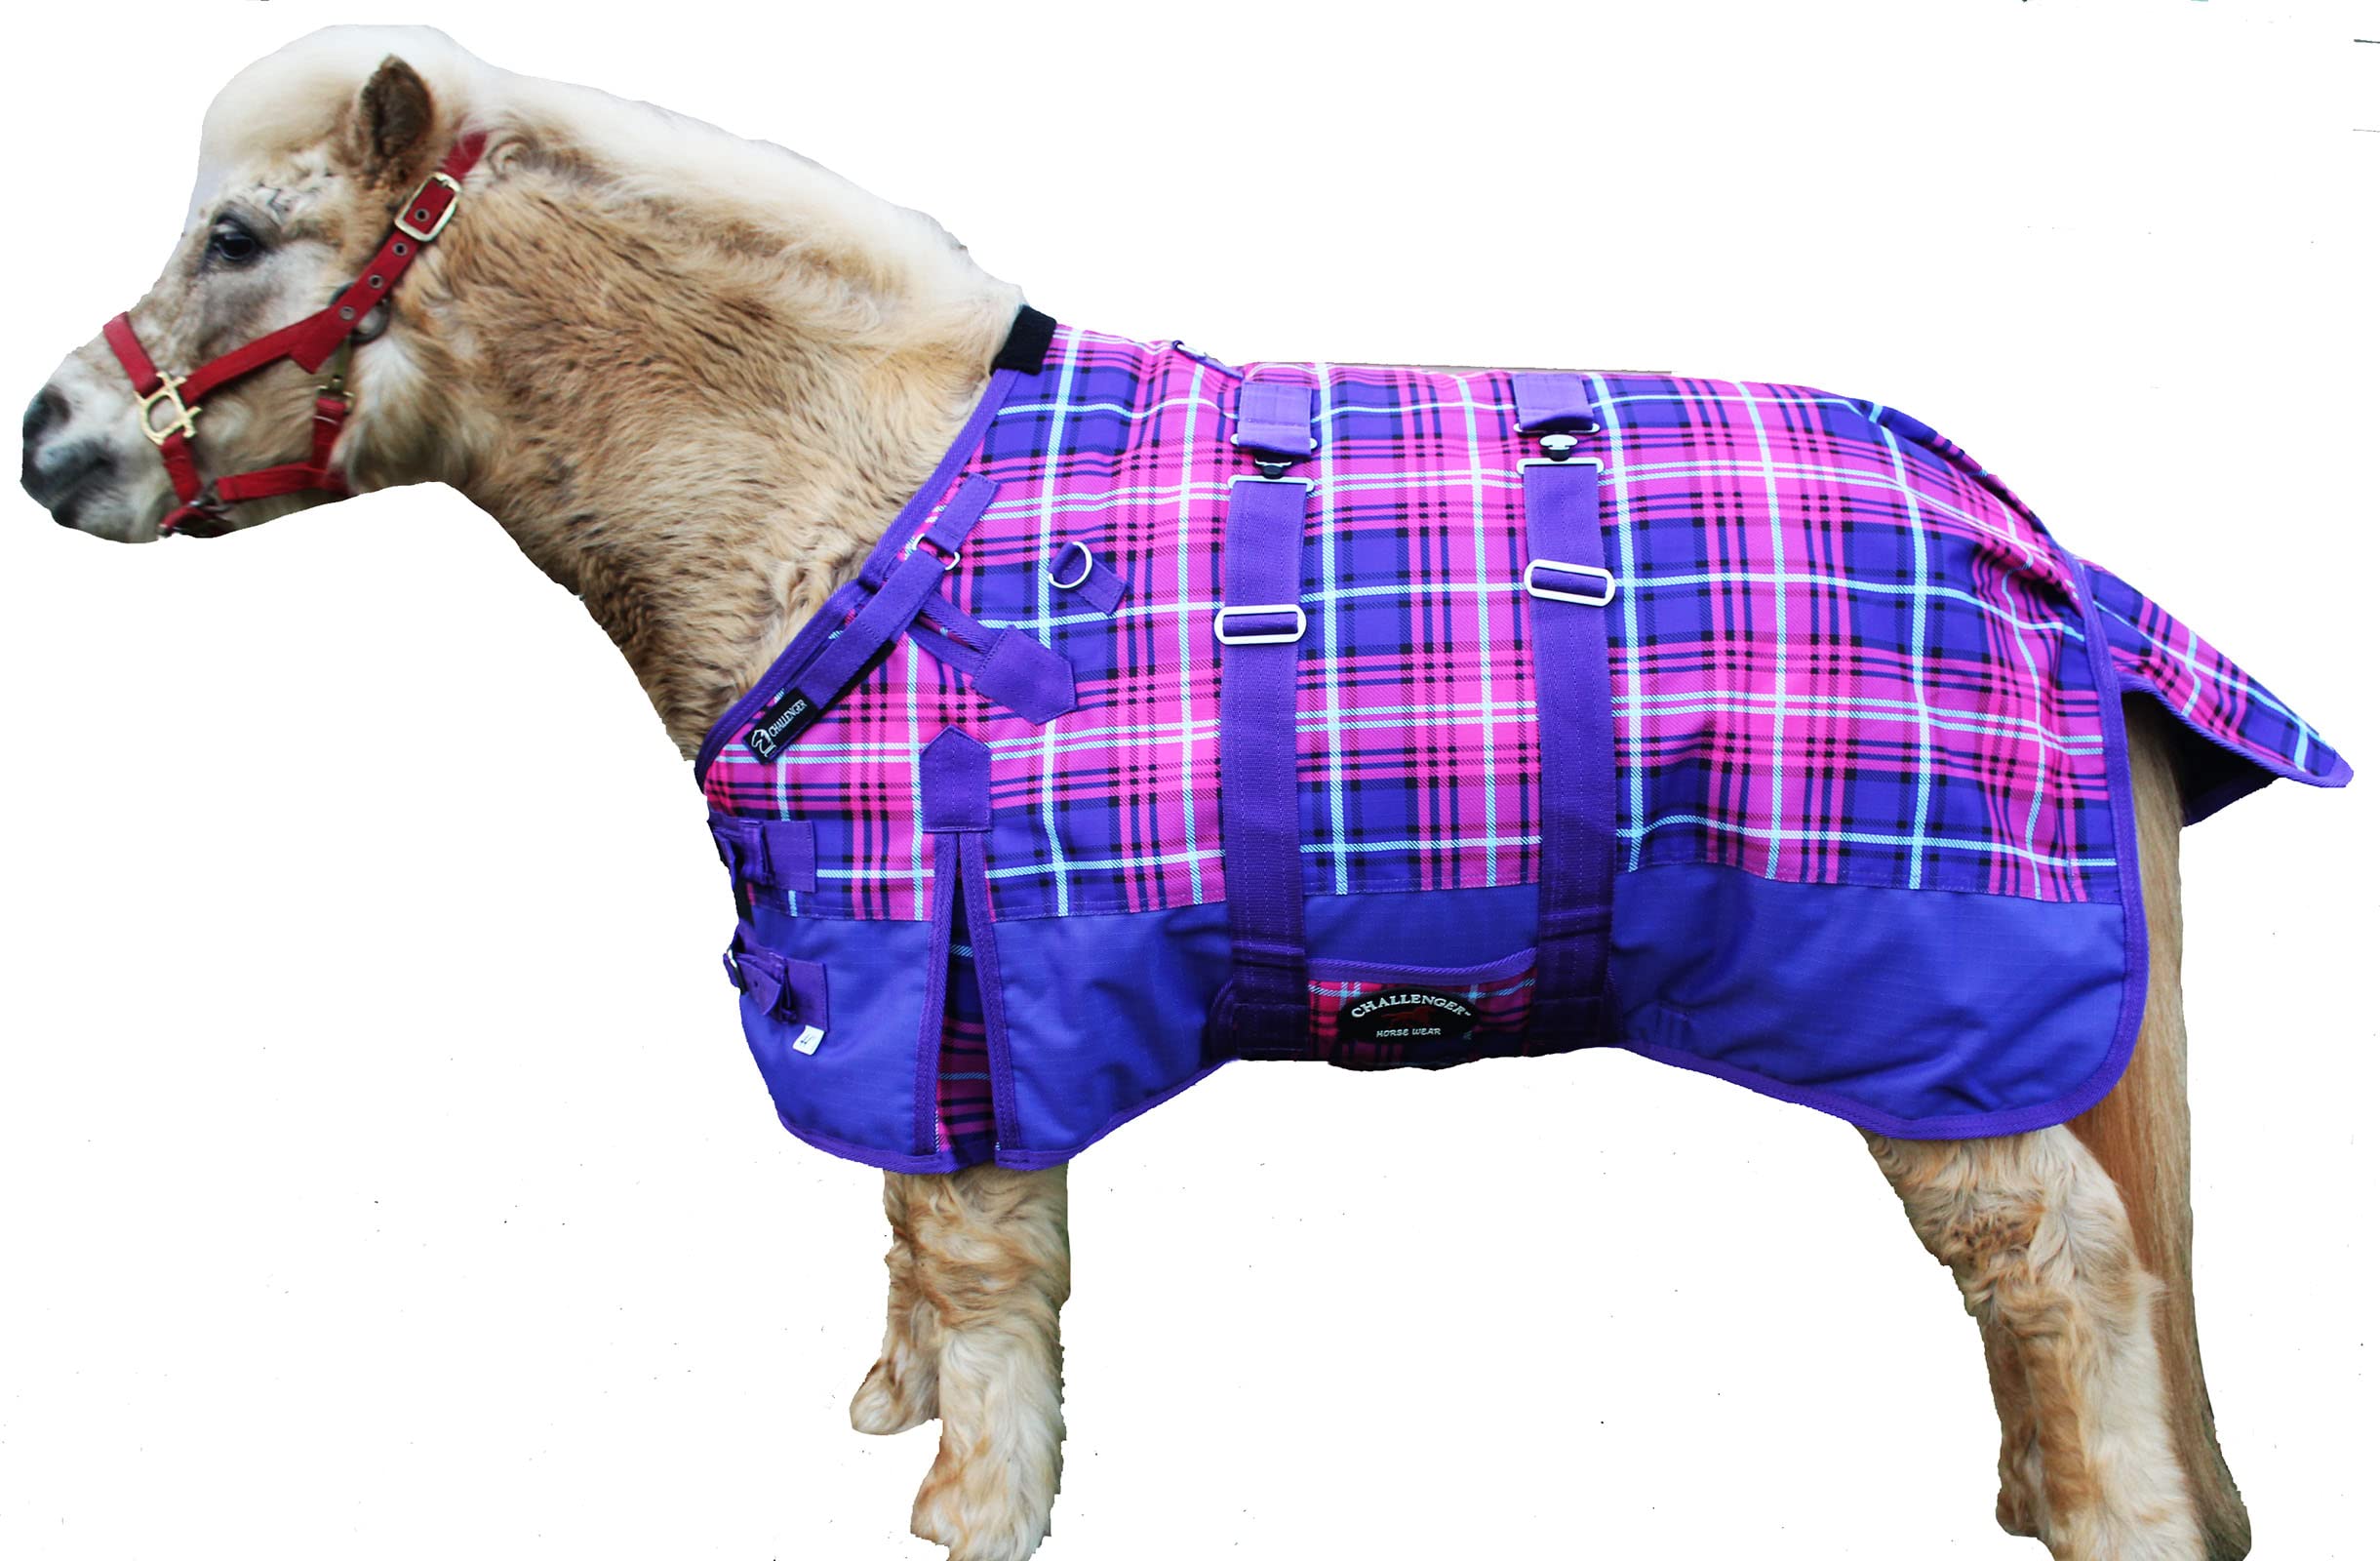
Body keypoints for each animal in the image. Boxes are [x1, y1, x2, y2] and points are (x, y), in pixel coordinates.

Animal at [18, 25, 2344, 1560]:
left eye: (242, 235)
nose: (55, 443)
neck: (852, 501)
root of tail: (2025, 541)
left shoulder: (963, 992)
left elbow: (986, 1301)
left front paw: (966, 1507)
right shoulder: (925, 1017)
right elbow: (915, 1264)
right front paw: (888, 1410)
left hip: (1932, 1013)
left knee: (2061, 1271)